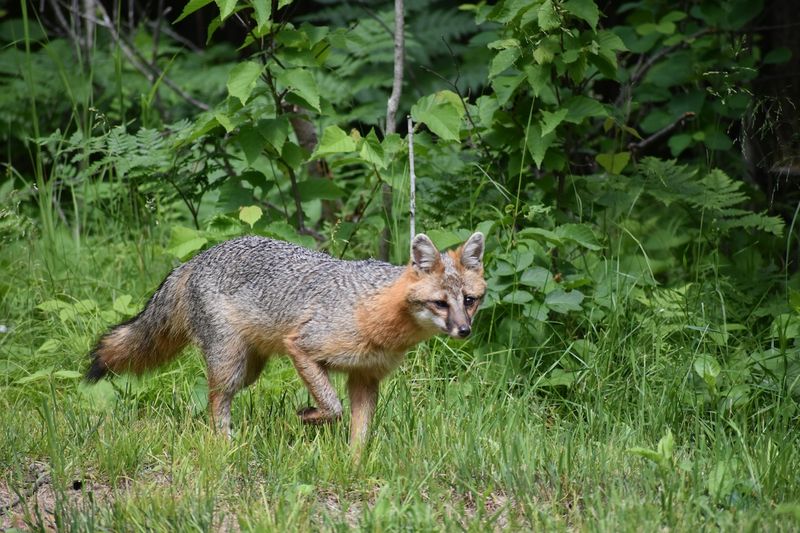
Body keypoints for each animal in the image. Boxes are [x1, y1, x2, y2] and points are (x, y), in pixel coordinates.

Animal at [85, 232, 486, 446]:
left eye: (470, 300)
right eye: (440, 303)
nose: (464, 331)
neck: (374, 310)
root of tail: (196, 259)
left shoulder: (365, 377)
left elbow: (359, 433)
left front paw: (355, 464)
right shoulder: (303, 347)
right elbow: (333, 407)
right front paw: (308, 416)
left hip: (249, 371)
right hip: (231, 366)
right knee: (216, 401)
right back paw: (224, 444)